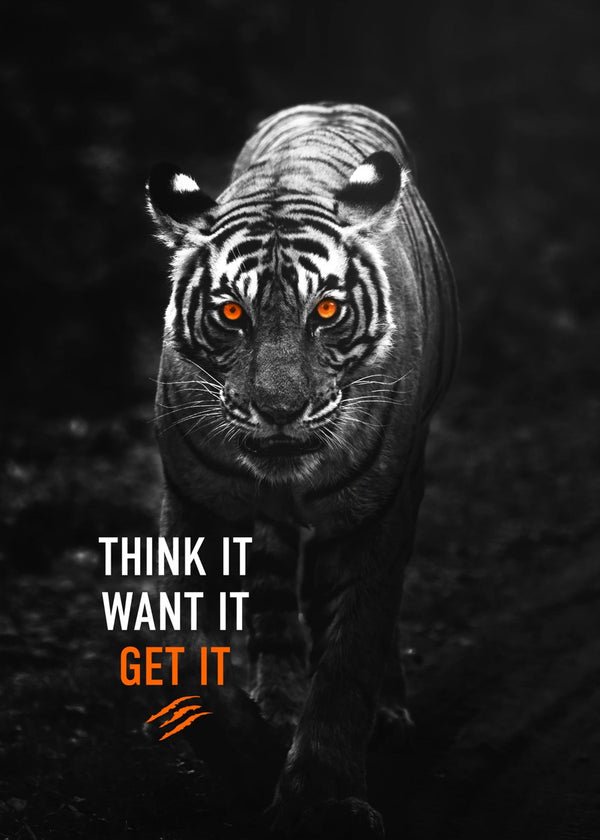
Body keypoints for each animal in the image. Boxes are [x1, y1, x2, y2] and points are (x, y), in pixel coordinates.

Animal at [146, 102, 459, 838]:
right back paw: (279, 697)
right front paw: (242, 758)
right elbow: (189, 656)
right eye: (232, 312)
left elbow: (351, 652)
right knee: (271, 588)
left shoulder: (375, 513)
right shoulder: (195, 504)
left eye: (327, 310)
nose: (280, 411)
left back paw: (382, 711)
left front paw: (322, 799)